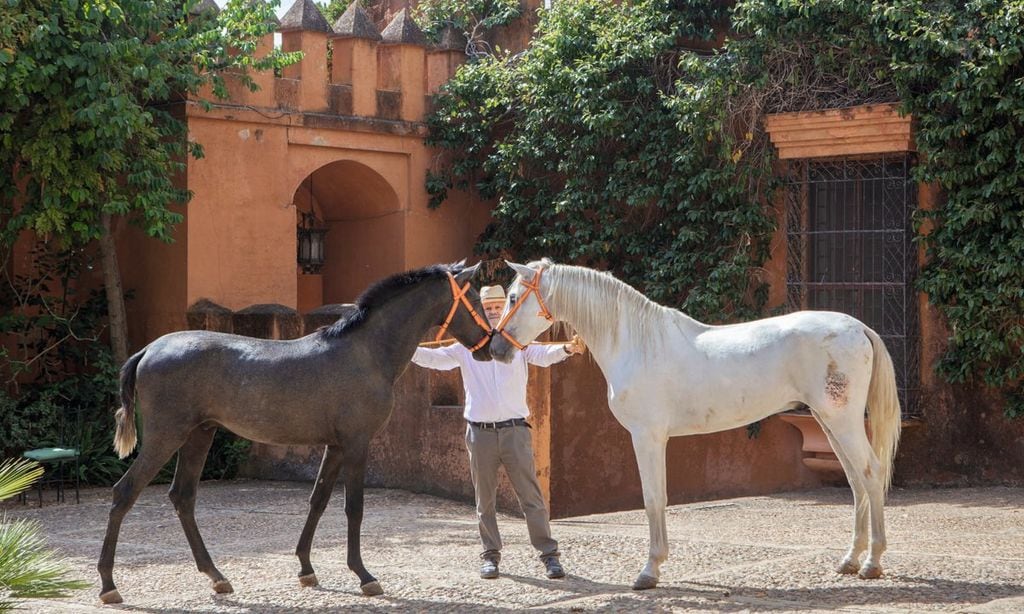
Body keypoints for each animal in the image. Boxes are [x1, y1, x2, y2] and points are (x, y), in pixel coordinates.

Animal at [96, 260, 491, 601]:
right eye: (474, 298)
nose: (491, 345)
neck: (366, 353)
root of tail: (148, 350)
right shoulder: (357, 443)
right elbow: (354, 507)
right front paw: (364, 575)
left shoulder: (335, 446)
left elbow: (318, 499)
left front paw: (306, 569)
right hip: (166, 437)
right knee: (124, 493)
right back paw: (108, 585)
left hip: (199, 435)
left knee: (182, 497)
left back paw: (217, 577)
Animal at [491, 257, 901, 589]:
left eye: (512, 297)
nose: (496, 349)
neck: (637, 343)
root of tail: (858, 328)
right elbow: (658, 497)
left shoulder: (648, 437)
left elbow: (654, 498)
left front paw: (649, 571)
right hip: (828, 422)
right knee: (856, 481)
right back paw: (849, 560)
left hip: (842, 421)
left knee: (871, 473)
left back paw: (872, 562)